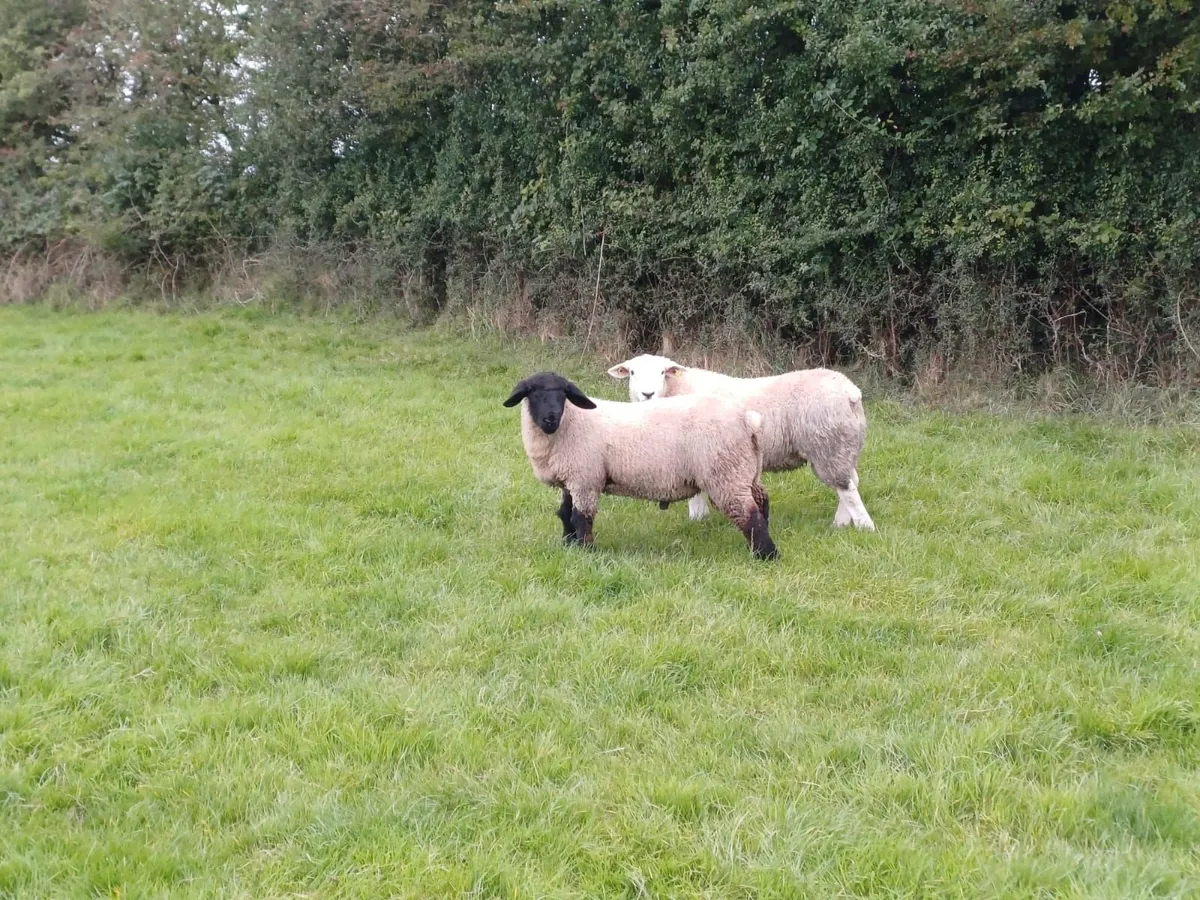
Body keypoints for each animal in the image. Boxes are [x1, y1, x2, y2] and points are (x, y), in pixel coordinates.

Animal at [502, 371, 778, 559]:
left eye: (563, 394)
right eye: (533, 393)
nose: (551, 418)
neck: (570, 423)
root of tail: (748, 419)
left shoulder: (585, 478)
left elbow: (581, 517)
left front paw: (585, 551)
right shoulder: (571, 479)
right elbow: (564, 514)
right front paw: (568, 545)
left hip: (725, 472)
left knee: (748, 513)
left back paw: (765, 555)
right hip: (746, 469)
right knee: (761, 501)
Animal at [607, 354, 875, 531]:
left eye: (663, 372)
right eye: (632, 373)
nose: (647, 394)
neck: (676, 389)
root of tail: (851, 392)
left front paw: (697, 518)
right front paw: (700, 519)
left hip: (828, 444)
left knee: (846, 487)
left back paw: (864, 526)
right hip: (844, 445)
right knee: (850, 482)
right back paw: (841, 523)